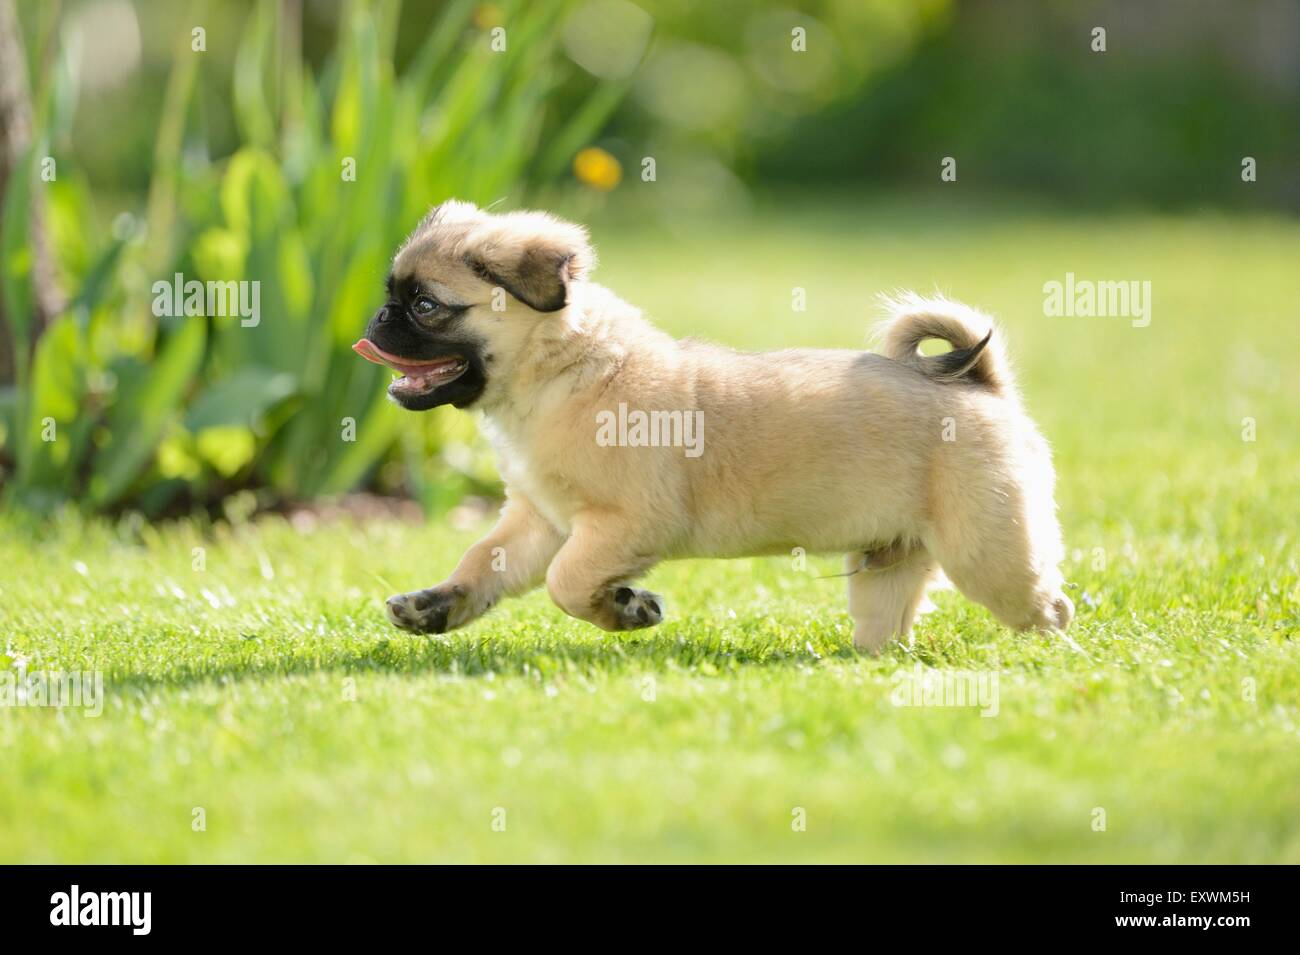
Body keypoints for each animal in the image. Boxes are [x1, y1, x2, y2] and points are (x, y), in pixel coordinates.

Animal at [351, 201, 1071, 649]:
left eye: (424, 305)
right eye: (393, 297)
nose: (375, 320)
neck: (561, 373)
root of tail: (983, 386)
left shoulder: (620, 526)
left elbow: (567, 582)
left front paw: (626, 609)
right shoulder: (537, 520)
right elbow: (485, 561)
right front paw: (436, 604)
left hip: (989, 554)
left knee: (1050, 607)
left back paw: (1050, 663)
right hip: (887, 564)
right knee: (887, 628)